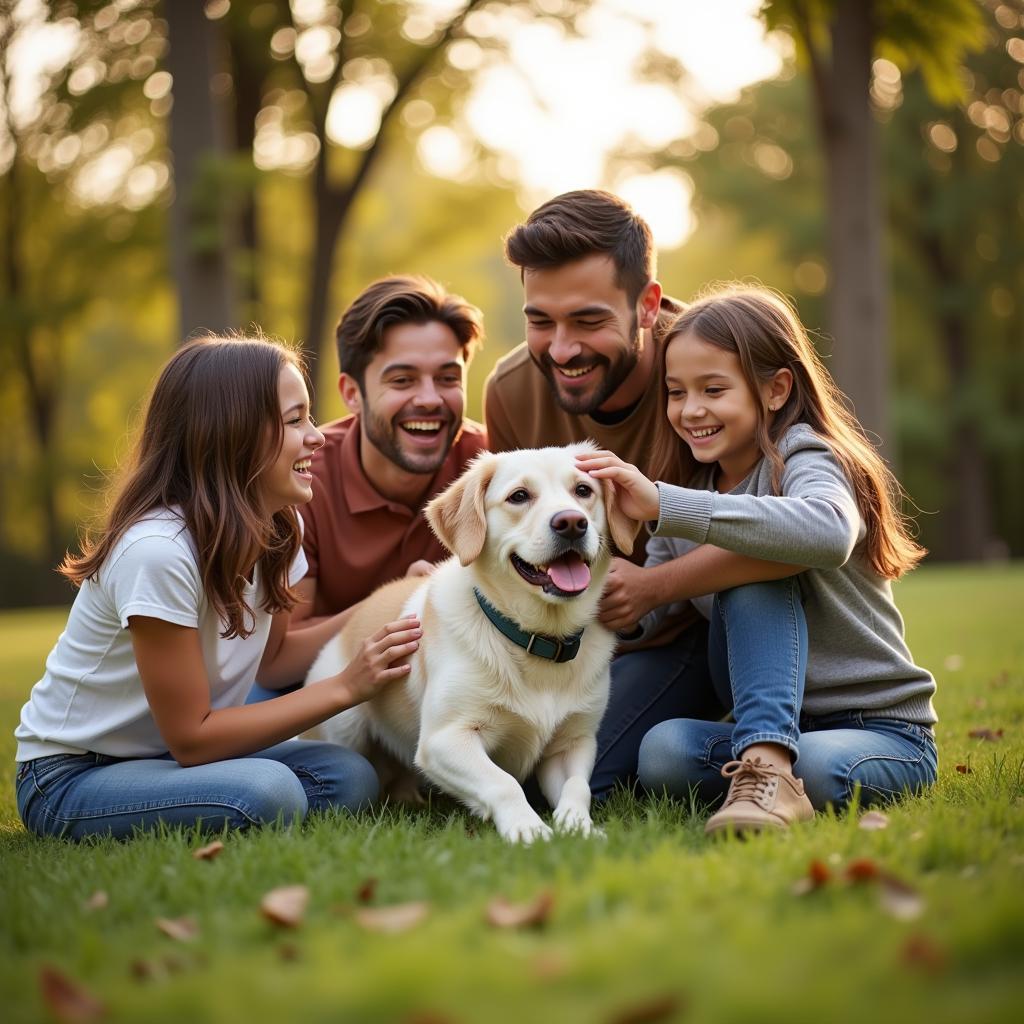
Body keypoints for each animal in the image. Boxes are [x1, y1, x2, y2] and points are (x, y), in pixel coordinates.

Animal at [305, 444, 638, 843]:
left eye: (583, 490)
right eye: (519, 496)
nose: (572, 522)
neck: (536, 638)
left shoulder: (574, 742)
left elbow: (577, 788)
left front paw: (579, 828)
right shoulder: (444, 739)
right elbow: (503, 783)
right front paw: (528, 828)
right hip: (344, 725)